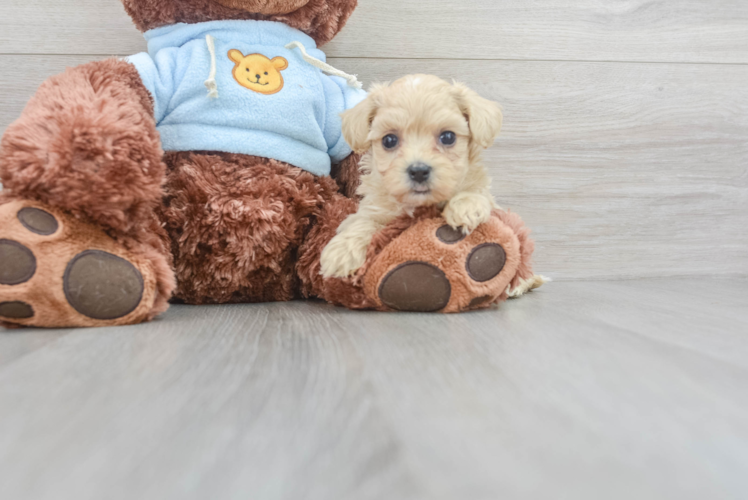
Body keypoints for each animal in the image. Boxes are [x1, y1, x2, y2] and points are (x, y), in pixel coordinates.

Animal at [320, 74, 502, 280]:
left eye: (448, 137)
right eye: (389, 140)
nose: (419, 171)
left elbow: (476, 192)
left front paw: (467, 206)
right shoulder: (376, 208)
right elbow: (364, 221)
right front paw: (342, 251)